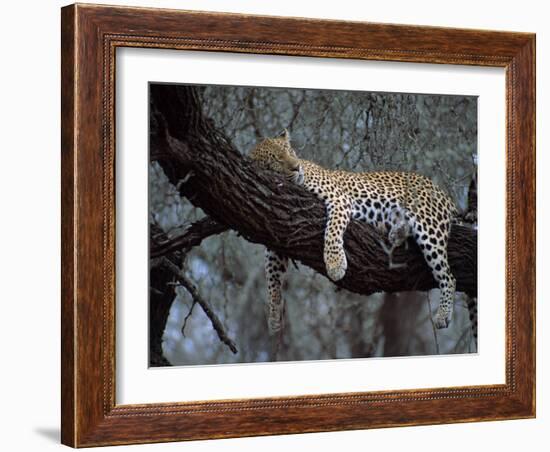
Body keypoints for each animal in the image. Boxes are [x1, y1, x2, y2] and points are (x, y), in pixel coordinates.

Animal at [252, 129, 468, 338]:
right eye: (277, 160)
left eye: (290, 151)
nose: (297, 167)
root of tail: (442, 192)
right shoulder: (274, 230)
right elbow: (271, 275)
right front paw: (273, 316)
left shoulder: (338, 199)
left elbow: (332, 231)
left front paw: (335, 264)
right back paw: (396, 232)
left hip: (428, 224)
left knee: (449, 276)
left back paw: (443, 315)